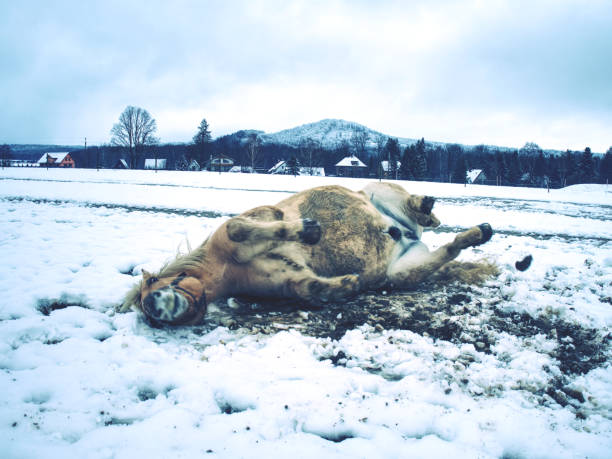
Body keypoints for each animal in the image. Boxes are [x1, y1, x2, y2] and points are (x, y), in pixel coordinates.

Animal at [119, 182, 492, 328]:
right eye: (146, 311)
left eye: (154, 282)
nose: (154, 305)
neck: (226, 266)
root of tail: (407, 234)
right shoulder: (288, 279)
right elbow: (310, 288)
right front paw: (346, 285)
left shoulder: (249, 222)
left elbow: (241, 228)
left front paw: (309, 229)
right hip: (402, 271)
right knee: (449, 248)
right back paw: (479, 231)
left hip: (380, 191)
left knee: (411, 202)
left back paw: (426, 208)